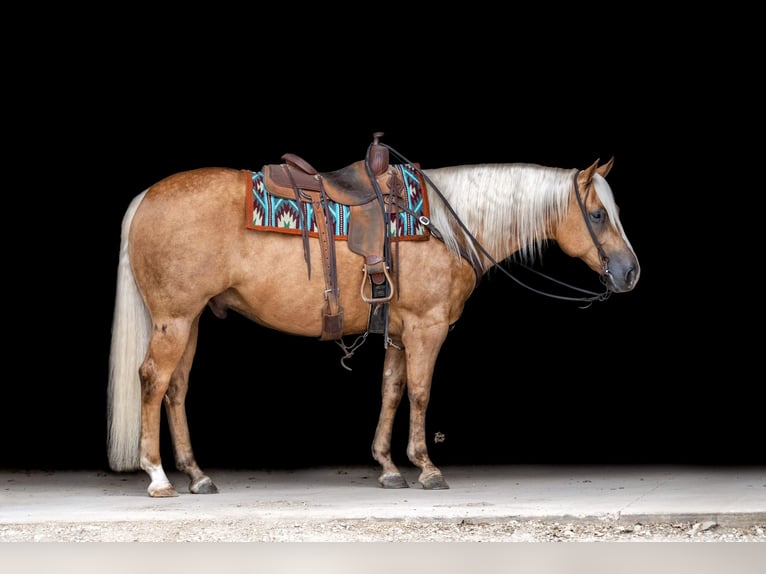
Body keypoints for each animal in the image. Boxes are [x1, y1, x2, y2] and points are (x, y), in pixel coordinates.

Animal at [105, 136, 640, 500]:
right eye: (597, 215)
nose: (630, 271)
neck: (443, 226)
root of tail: (146, 197)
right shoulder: (427, 326)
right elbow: (420, 392)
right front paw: (426, 467)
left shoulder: (401, 332)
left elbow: (392, 390)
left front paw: (388, 467)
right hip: (174, 320)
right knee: (152, 379)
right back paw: (157, 476)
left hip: (189, 320)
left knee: (176, 388)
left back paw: (196, 475)